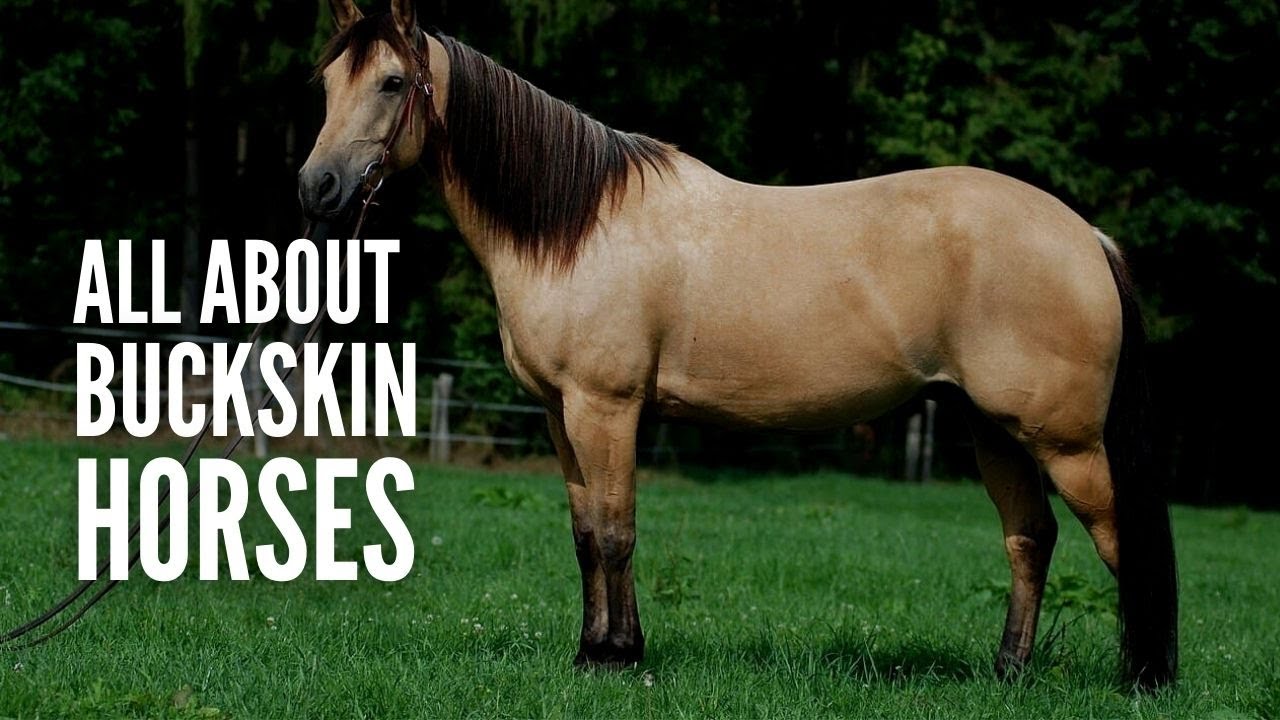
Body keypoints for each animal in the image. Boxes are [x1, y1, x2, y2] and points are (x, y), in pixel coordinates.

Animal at [299, 0, 1177, 689]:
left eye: (392, 83)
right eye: (327, 84)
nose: (318, 189)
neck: (576, 227)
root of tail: (1088, 237)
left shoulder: (607, 409)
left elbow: (617, 531)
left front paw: (620, 657)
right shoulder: (560, 414)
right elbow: (585, 535)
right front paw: (590, 653)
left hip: (1065, 440)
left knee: (1120, 537)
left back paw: (1143, 678)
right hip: (991, 428)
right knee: (1030, 537)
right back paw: (1009, 672)